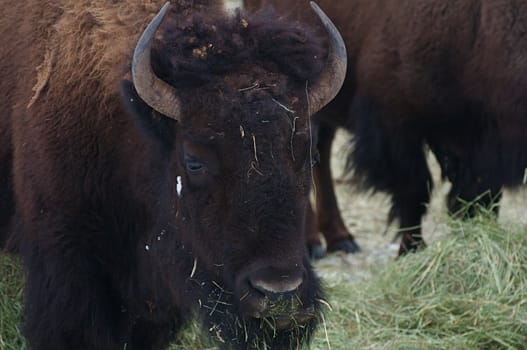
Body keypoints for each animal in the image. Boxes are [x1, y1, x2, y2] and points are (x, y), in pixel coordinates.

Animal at [245, 0, 527, 258]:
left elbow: (482, 192)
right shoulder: (394, 123)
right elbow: (415, 187)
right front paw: (411, 249)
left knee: (319, 151)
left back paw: (341, 238)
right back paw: (311, 243)